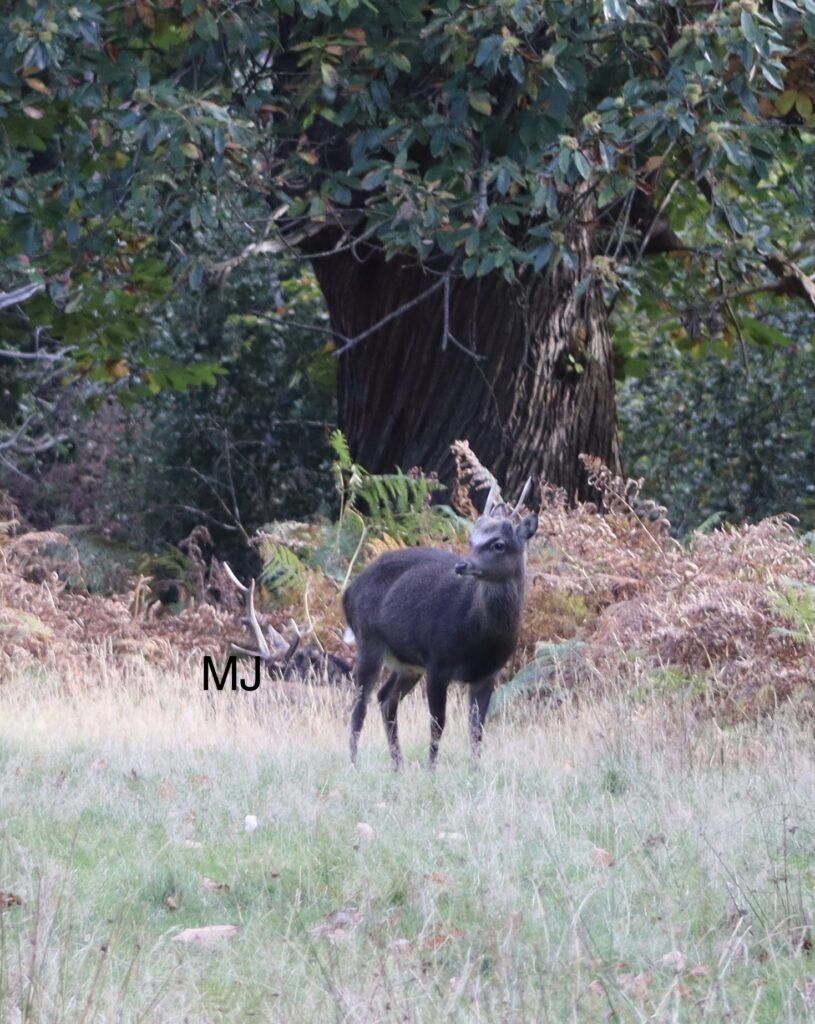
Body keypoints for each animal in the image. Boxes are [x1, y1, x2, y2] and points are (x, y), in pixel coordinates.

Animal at [343, 481, 538, 768]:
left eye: (499, 544)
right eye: (471, 540)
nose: (462, 565)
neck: (480, 638)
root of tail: (347, 593)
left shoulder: (488, 673)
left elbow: (477, 728)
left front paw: (475, 769)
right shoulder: (438, 662)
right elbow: (438, 723)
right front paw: (431, 769)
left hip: (408, 664)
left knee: (385, 698)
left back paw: (398, 765)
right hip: (369, 641)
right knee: (360, 704)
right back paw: (355, 762)